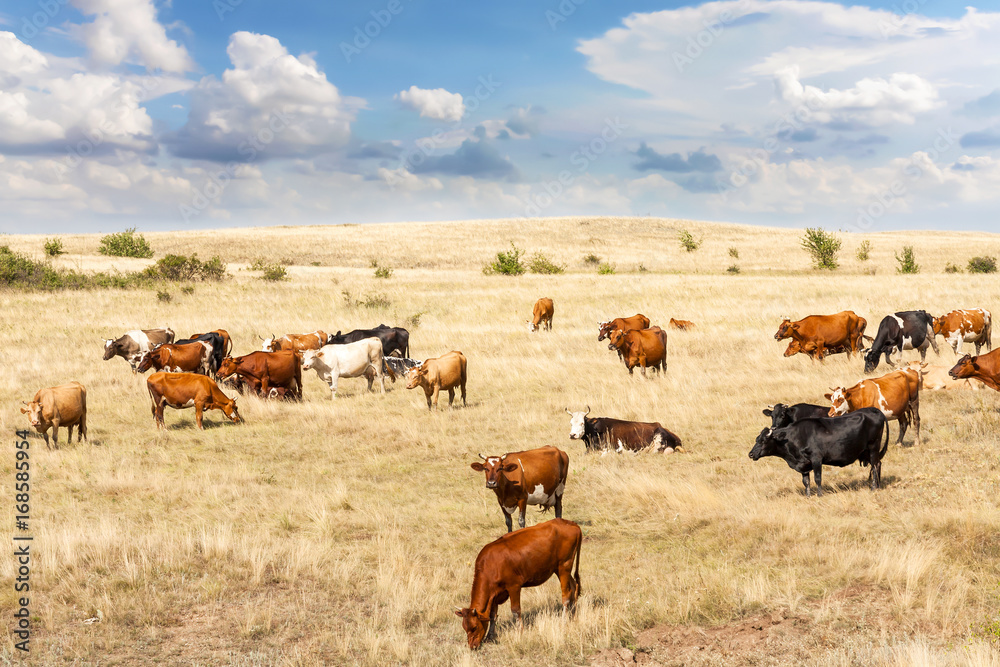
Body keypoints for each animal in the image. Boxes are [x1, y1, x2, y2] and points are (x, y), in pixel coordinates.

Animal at [455, 518, 582, 650]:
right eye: (464, 628)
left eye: (474, 627)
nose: (472, 646)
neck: (492, 564)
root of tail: (570, 523)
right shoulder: (494, 594)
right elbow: (493, 615)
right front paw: (490, 636)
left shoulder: (514, 587)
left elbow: (515, 610)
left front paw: (520, 631)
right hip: (559, 569)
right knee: (574, 587)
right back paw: (574, 614)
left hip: (564, 566)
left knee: (566, 595)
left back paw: (564, 620)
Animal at [748, 408, 889, 497]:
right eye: (757, 439)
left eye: (764, 440)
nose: (751, 454)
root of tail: (874, 409)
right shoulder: (804, 464)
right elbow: (806, 482)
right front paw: (808, 496)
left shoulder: (816, 459)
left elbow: (817, 479)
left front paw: (819, 495)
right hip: (866, 451)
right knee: (878, 464)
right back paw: (877, 486)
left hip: (873, 447)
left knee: (875, 466)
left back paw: (873, 487)